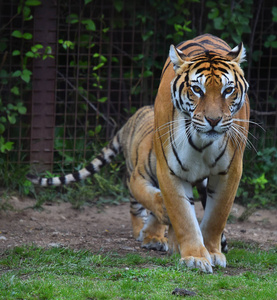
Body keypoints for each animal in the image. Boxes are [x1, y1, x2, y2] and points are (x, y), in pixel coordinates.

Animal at [27, 34, 249, 274]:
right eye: (197, 90)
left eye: (228, 90)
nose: (214, 120)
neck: (202, 144)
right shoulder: (165, 172)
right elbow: (180, 215)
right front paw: (194, 257)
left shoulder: (230, 172)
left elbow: (216, 217)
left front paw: (212, 252)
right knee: (137, 208)